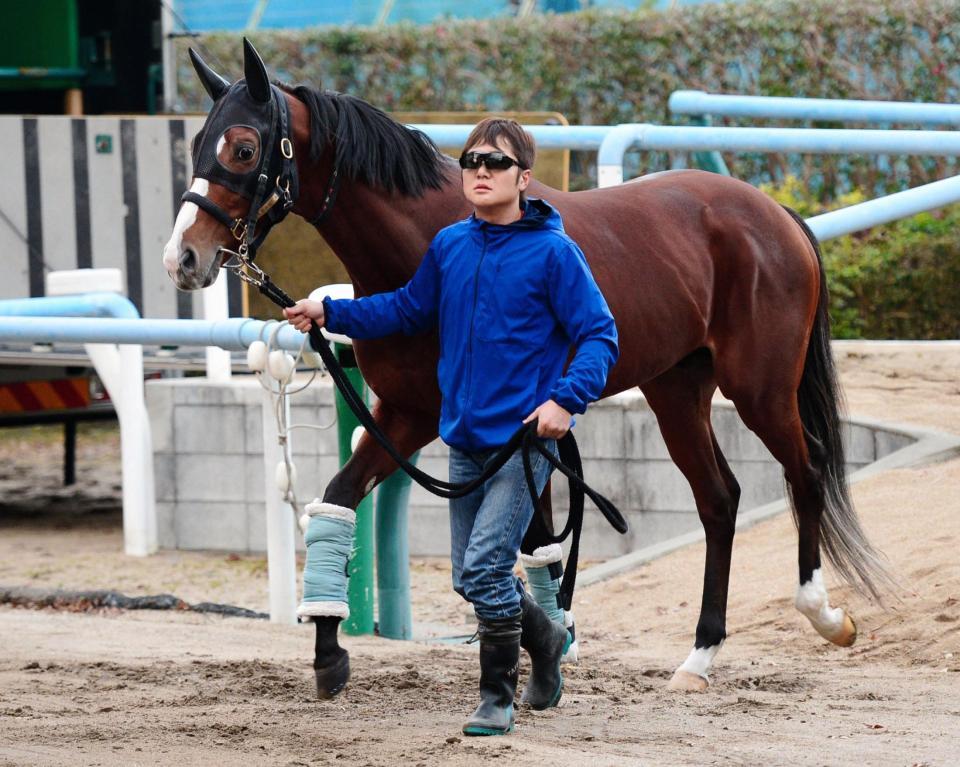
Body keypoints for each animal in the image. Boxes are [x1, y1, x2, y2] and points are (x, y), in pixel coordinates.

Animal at [163, 39, 892, 704]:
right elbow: (343, 499)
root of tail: (775, 214)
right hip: (676, 391)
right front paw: (329, 654)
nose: (183, 258)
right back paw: (699, 655)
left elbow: (519, 544)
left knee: (806, 470)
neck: (433, 241)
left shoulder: (474, 423)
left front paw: (539, 648)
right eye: (197, 141)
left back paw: (825, 615)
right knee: (720, 499)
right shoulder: (408, 413)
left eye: (244, 148)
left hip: (761, 389)